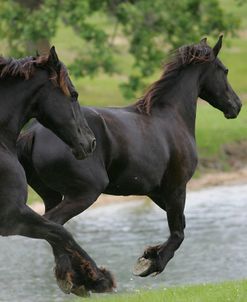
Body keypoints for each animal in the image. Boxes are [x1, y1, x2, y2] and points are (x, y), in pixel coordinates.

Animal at [0, 47, 115, 298]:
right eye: (73, 94)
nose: (90, 142)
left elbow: (57, 231)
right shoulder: (12, 216)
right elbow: (61, 232)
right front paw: (96, 279)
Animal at [17, 36, 241, 282]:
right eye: (225, 70)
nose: (237, 105)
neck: (172, 117)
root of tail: (33, 132)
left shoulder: (156, 191)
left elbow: (180, 223)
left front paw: (151, 253)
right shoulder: (176, 187)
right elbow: (178, 232)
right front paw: (150, 263)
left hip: (52, 194)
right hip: (85, 192)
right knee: (54, 225)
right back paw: (81, 278)